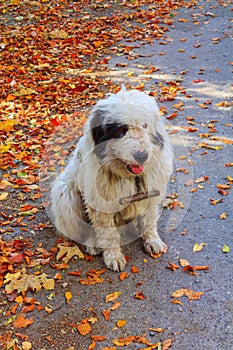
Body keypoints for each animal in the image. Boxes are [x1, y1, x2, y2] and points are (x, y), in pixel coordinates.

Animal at [52, 86, 174, 272]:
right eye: (121, 129)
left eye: (144, 125)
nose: (142, 156)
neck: (131, 177)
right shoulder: (101, 204)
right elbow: (108, 233)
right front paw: (113, 257)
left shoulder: (150, 195)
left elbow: (148, 221)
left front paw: (152, 240)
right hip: (66, 195)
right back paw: (93, 243)